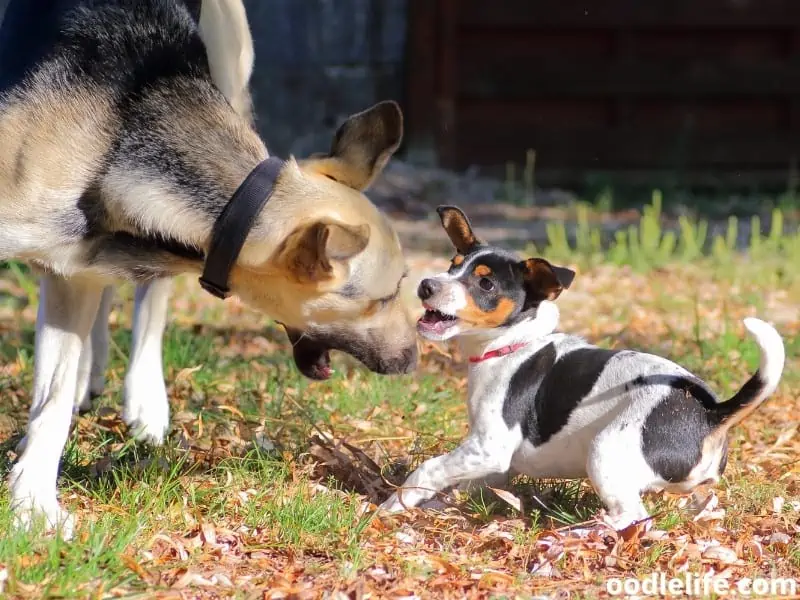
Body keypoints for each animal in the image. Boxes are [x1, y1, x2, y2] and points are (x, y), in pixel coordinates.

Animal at [0, 0, 416, 536]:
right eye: (382, 299)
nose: (413, 359)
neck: (118, 145)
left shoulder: (76, 266)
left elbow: (51, 403)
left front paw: (33, 507)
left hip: (229, 65)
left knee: (145, 303)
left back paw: (140, 397)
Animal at [378, 206, 784, 528]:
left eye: (486, 284)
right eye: (452, 267)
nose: (426, 286)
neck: (512, 344)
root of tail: (711, 412)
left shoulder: (488, 446)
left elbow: (430, 468)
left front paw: (393, 504)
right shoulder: (491, 462)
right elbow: (459, 484)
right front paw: (435, 505)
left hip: (606, 451)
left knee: (633, 517)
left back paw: (582, 531)